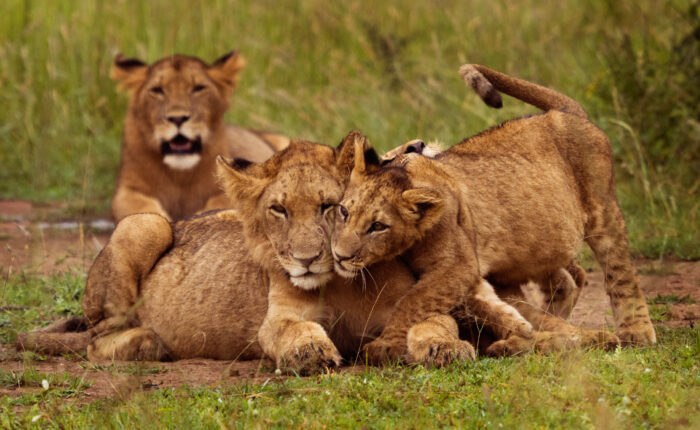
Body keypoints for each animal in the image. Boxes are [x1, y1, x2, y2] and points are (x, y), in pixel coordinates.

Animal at [17, 135, 475, 373]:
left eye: (329, 206)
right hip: (145, 223)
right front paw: (311, 353)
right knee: (96, 341)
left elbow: (435, 322)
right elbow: (293, 330)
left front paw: (446, 349)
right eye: (279, 210)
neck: (342, 284)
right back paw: (147, 342)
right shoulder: (277, 319)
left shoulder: (409, 304)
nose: (307, 259)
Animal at [110, 51, 289, 221]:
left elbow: (220, 202)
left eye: (198, 88)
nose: (178, 118)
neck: (179, 176)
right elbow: (137, 206)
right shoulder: (127, 189)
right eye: (157, 90)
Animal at [331, 64, 656, 362]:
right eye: (343, 212)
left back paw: (635, 332)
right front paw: (525, 332)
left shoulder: (459, 266)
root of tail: (564, 112)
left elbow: (412, 302)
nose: (339, 256)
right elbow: (496, 308)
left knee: (620, 273)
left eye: (377, 226)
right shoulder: (474, 277)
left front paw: (386, 344)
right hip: (537, 244)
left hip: (602, 212)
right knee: (567, 278)